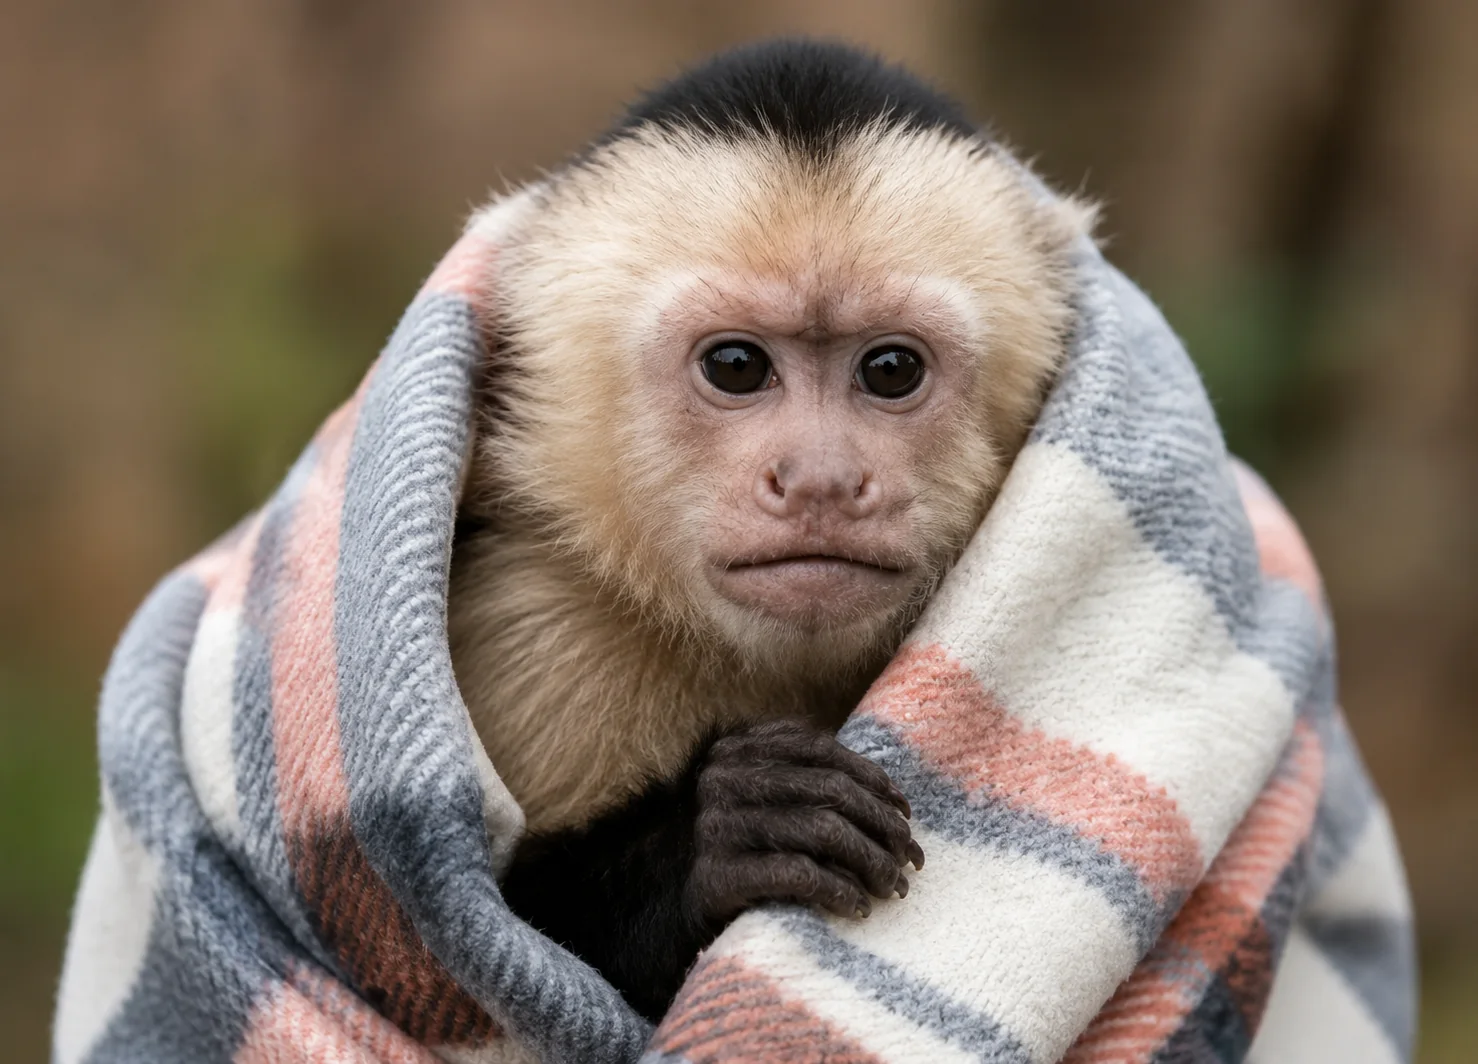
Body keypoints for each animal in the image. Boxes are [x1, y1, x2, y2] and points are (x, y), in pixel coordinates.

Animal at [447, 39, 1095, 1021]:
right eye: (737, 366)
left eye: (891, 369)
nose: (822, 480)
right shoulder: (542, 628)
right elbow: (489, 950)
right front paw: (726, 835)